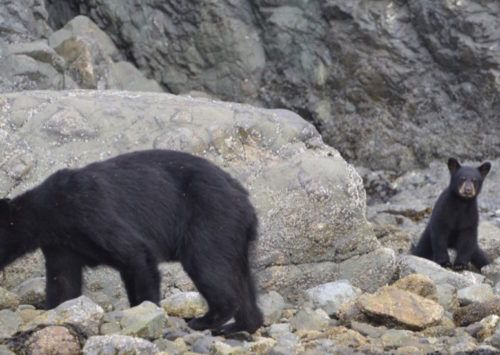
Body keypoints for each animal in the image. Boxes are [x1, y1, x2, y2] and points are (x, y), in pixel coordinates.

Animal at [0, 150, 264, 336]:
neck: (49, 211)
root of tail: (245, 200)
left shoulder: (90, 211)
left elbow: (136, 255)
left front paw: (145, 312)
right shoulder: (62, 245)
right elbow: (63, 281)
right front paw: (55, 313)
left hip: (210, 217)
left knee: (207, 265)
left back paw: (204, 320)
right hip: (233, 233)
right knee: (241, 278)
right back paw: (242, 324)